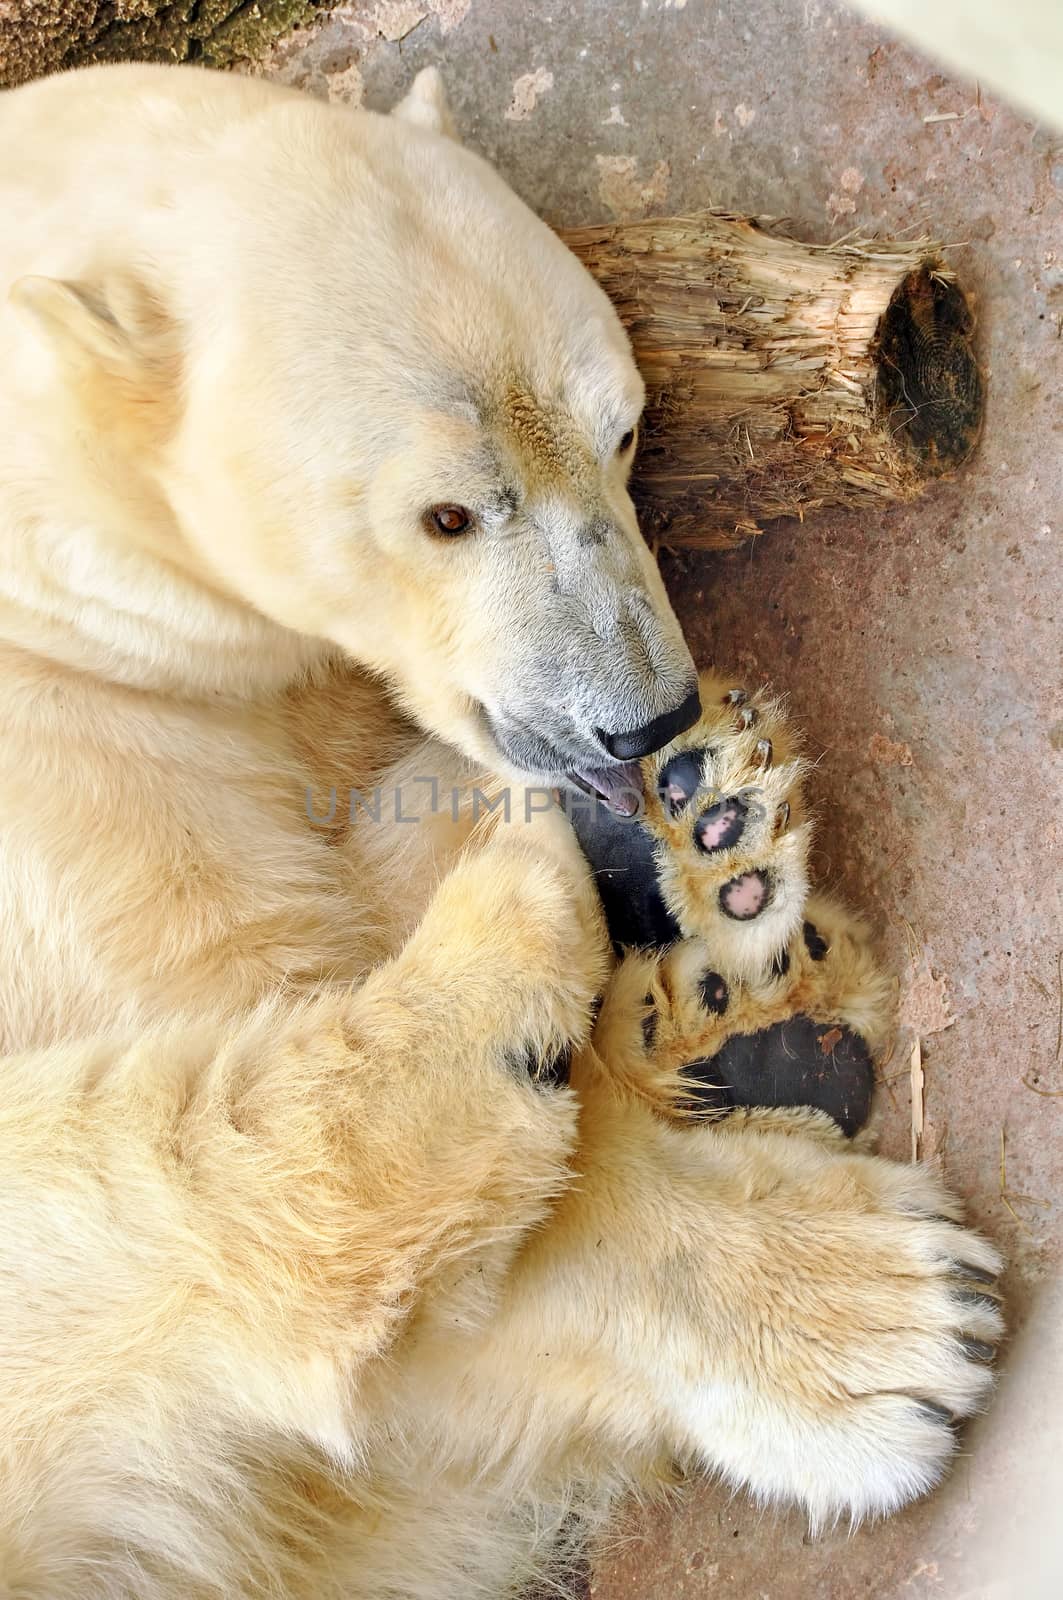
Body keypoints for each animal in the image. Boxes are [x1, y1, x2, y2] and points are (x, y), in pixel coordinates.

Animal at [0, 59, 998, 1600]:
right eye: (446, 513)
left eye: (626, 429)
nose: (644, 723)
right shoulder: (63, 805)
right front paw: (889, 1319)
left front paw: (705, 836)